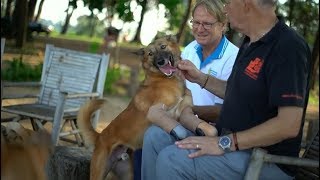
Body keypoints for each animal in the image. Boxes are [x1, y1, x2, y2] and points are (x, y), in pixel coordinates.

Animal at [77, 35, 192, 180]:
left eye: (163, 47)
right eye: (150, 54)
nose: (161, 61)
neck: (165, 79)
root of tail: (100, 136)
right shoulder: (157, 112)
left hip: (127, 174)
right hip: (98, 173)